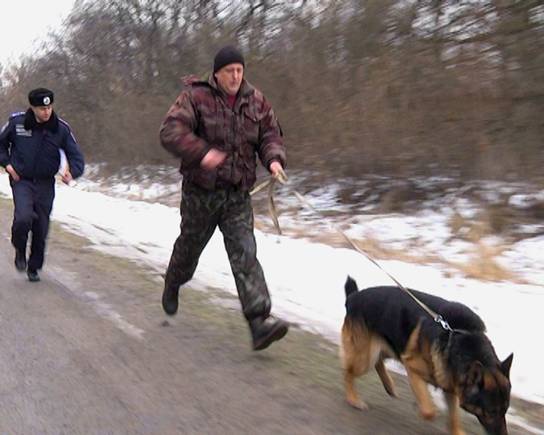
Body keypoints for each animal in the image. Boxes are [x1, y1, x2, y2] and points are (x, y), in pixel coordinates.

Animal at [342, 278, 512, 434]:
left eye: (505, 410)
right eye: (491, 412)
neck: (459, 337)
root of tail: (354, 296)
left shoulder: (450, 386)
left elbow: (454, 418)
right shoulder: (412, 368)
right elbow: (429, 412)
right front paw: (421, 408)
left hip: (387, 348)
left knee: (378, 363)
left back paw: (389, 386)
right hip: (366, 358)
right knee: (348, 373)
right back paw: (353, 399)